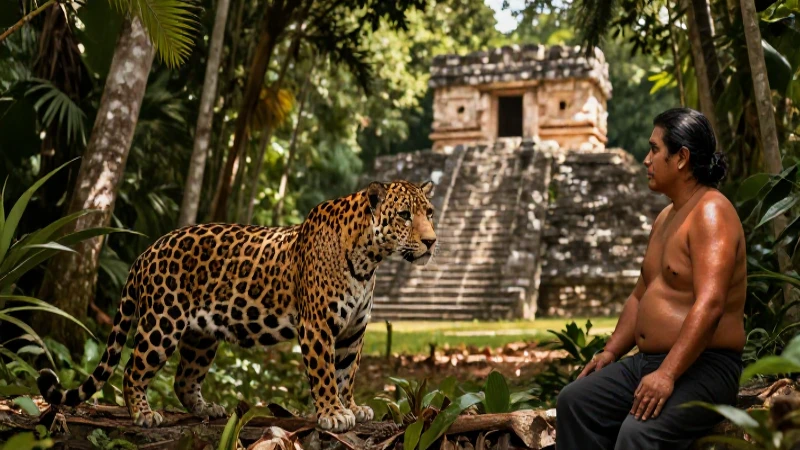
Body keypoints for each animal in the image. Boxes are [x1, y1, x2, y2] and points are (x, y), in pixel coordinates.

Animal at [37, 180, 437, 432]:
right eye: (404, 215)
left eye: (430, 212)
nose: (432, 241)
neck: (369, 259)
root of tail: (147, 250)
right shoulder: (317, 325)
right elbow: (325, 374)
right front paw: (333, 414)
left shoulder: (354, 330)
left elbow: (346, 372)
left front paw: (351, 407)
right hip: (161, 324)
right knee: (132, 370)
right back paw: (143, 414)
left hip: (200, 337)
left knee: (184, 379)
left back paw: (207, 409)